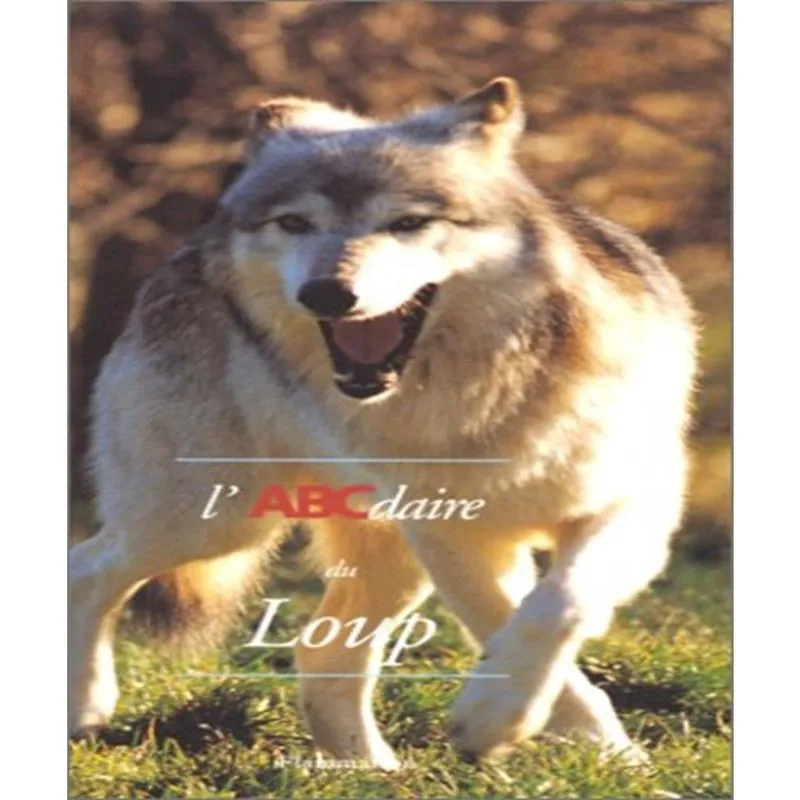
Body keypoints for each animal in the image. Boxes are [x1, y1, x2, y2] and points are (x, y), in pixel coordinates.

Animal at [69, 77, 697, 768]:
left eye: (408, 223)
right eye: (295, 223)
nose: (326, 292)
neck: (479, 402)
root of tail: (188, 249)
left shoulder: (633, 504)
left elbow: (559, 603)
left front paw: (556, 737)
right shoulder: (454, 538)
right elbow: (514, 624)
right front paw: (504, 722)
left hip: (367, 554)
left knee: (320, 653)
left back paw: (374, 772)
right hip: (216, 520)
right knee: (87, 565)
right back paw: (85, 705)